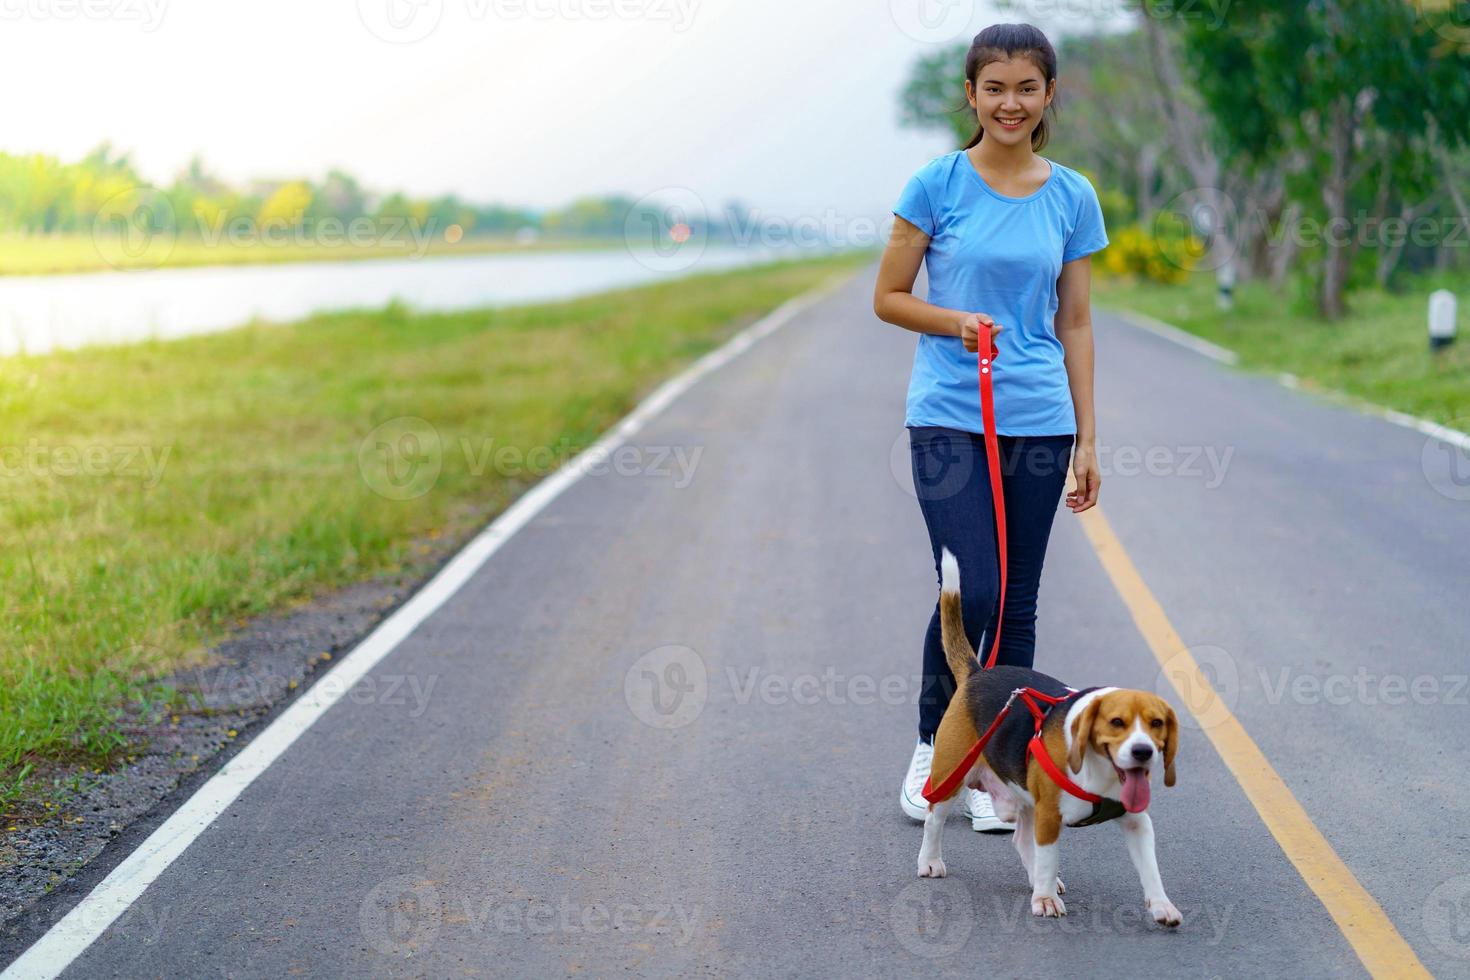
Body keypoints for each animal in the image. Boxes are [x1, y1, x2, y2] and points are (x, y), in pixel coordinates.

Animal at [911, 552, 1187, 928]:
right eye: (1117, 722)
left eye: (1156, 723)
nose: (1143, 752)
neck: (1101, 773)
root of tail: (978, 674)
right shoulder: (1050, 816)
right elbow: (1049, 856)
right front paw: (1044, 899)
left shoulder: (1136, 821)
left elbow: (1151, 869)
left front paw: (1162, 906)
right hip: (951, 774)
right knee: (934, 820)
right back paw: (931, 861)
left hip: (1025, 796)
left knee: (1021, 840)